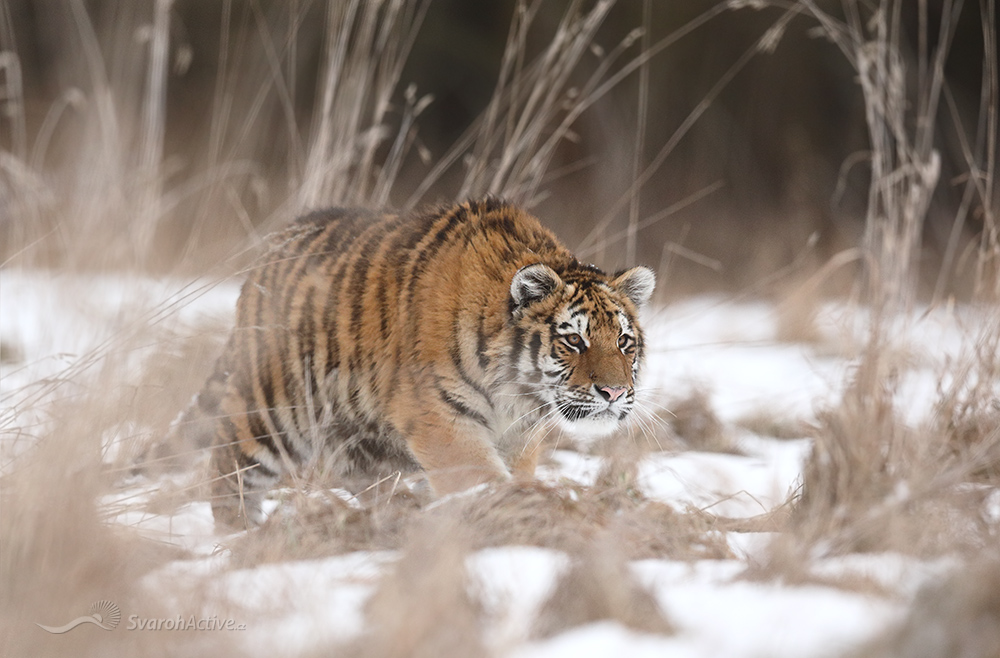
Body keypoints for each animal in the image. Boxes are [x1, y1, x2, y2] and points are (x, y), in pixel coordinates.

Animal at [180, 197, 656, 524]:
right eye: (573, 339)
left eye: (623, 342)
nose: (614, 392)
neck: (517, 393)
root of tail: (268, 252)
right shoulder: (441, 417)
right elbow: (481, 477)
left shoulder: (519, 434)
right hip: (272, 412)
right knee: (227, 468)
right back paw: (243, 539)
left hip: (356, 432)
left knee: (350, 472)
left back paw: (398, 513)